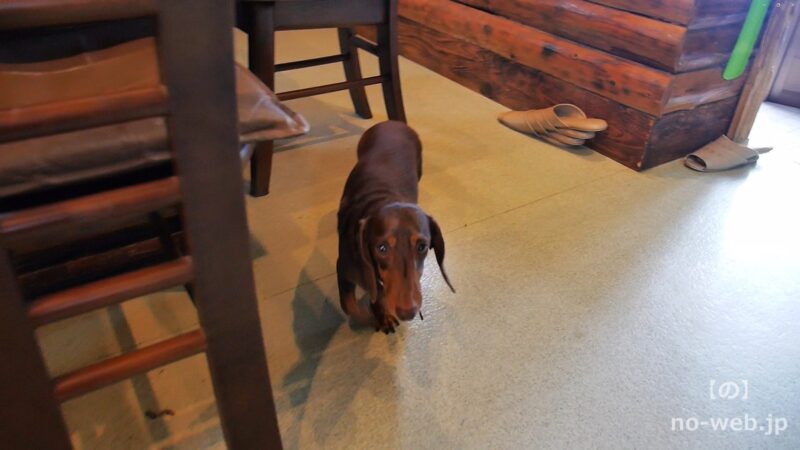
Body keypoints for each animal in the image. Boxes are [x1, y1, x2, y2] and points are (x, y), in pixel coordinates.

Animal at [337, 121, 454, 333]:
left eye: (422, 246)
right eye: (381, 248)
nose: (408, 312)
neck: (381, 199)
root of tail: (392, 122)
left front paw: (382, 313)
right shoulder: (343, 269)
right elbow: (351, 307)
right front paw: (375, 316)